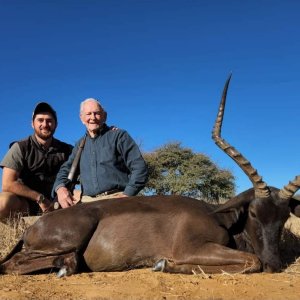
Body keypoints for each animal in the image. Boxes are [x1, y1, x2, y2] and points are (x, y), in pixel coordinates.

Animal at [0, 74, 300, 274]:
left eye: (285, 215)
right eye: (254, 213)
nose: (275, 264)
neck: (221, 217)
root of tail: (33, 227)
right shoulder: (191, 248)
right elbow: (251, 261)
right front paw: (163, 264)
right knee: (12, 264)